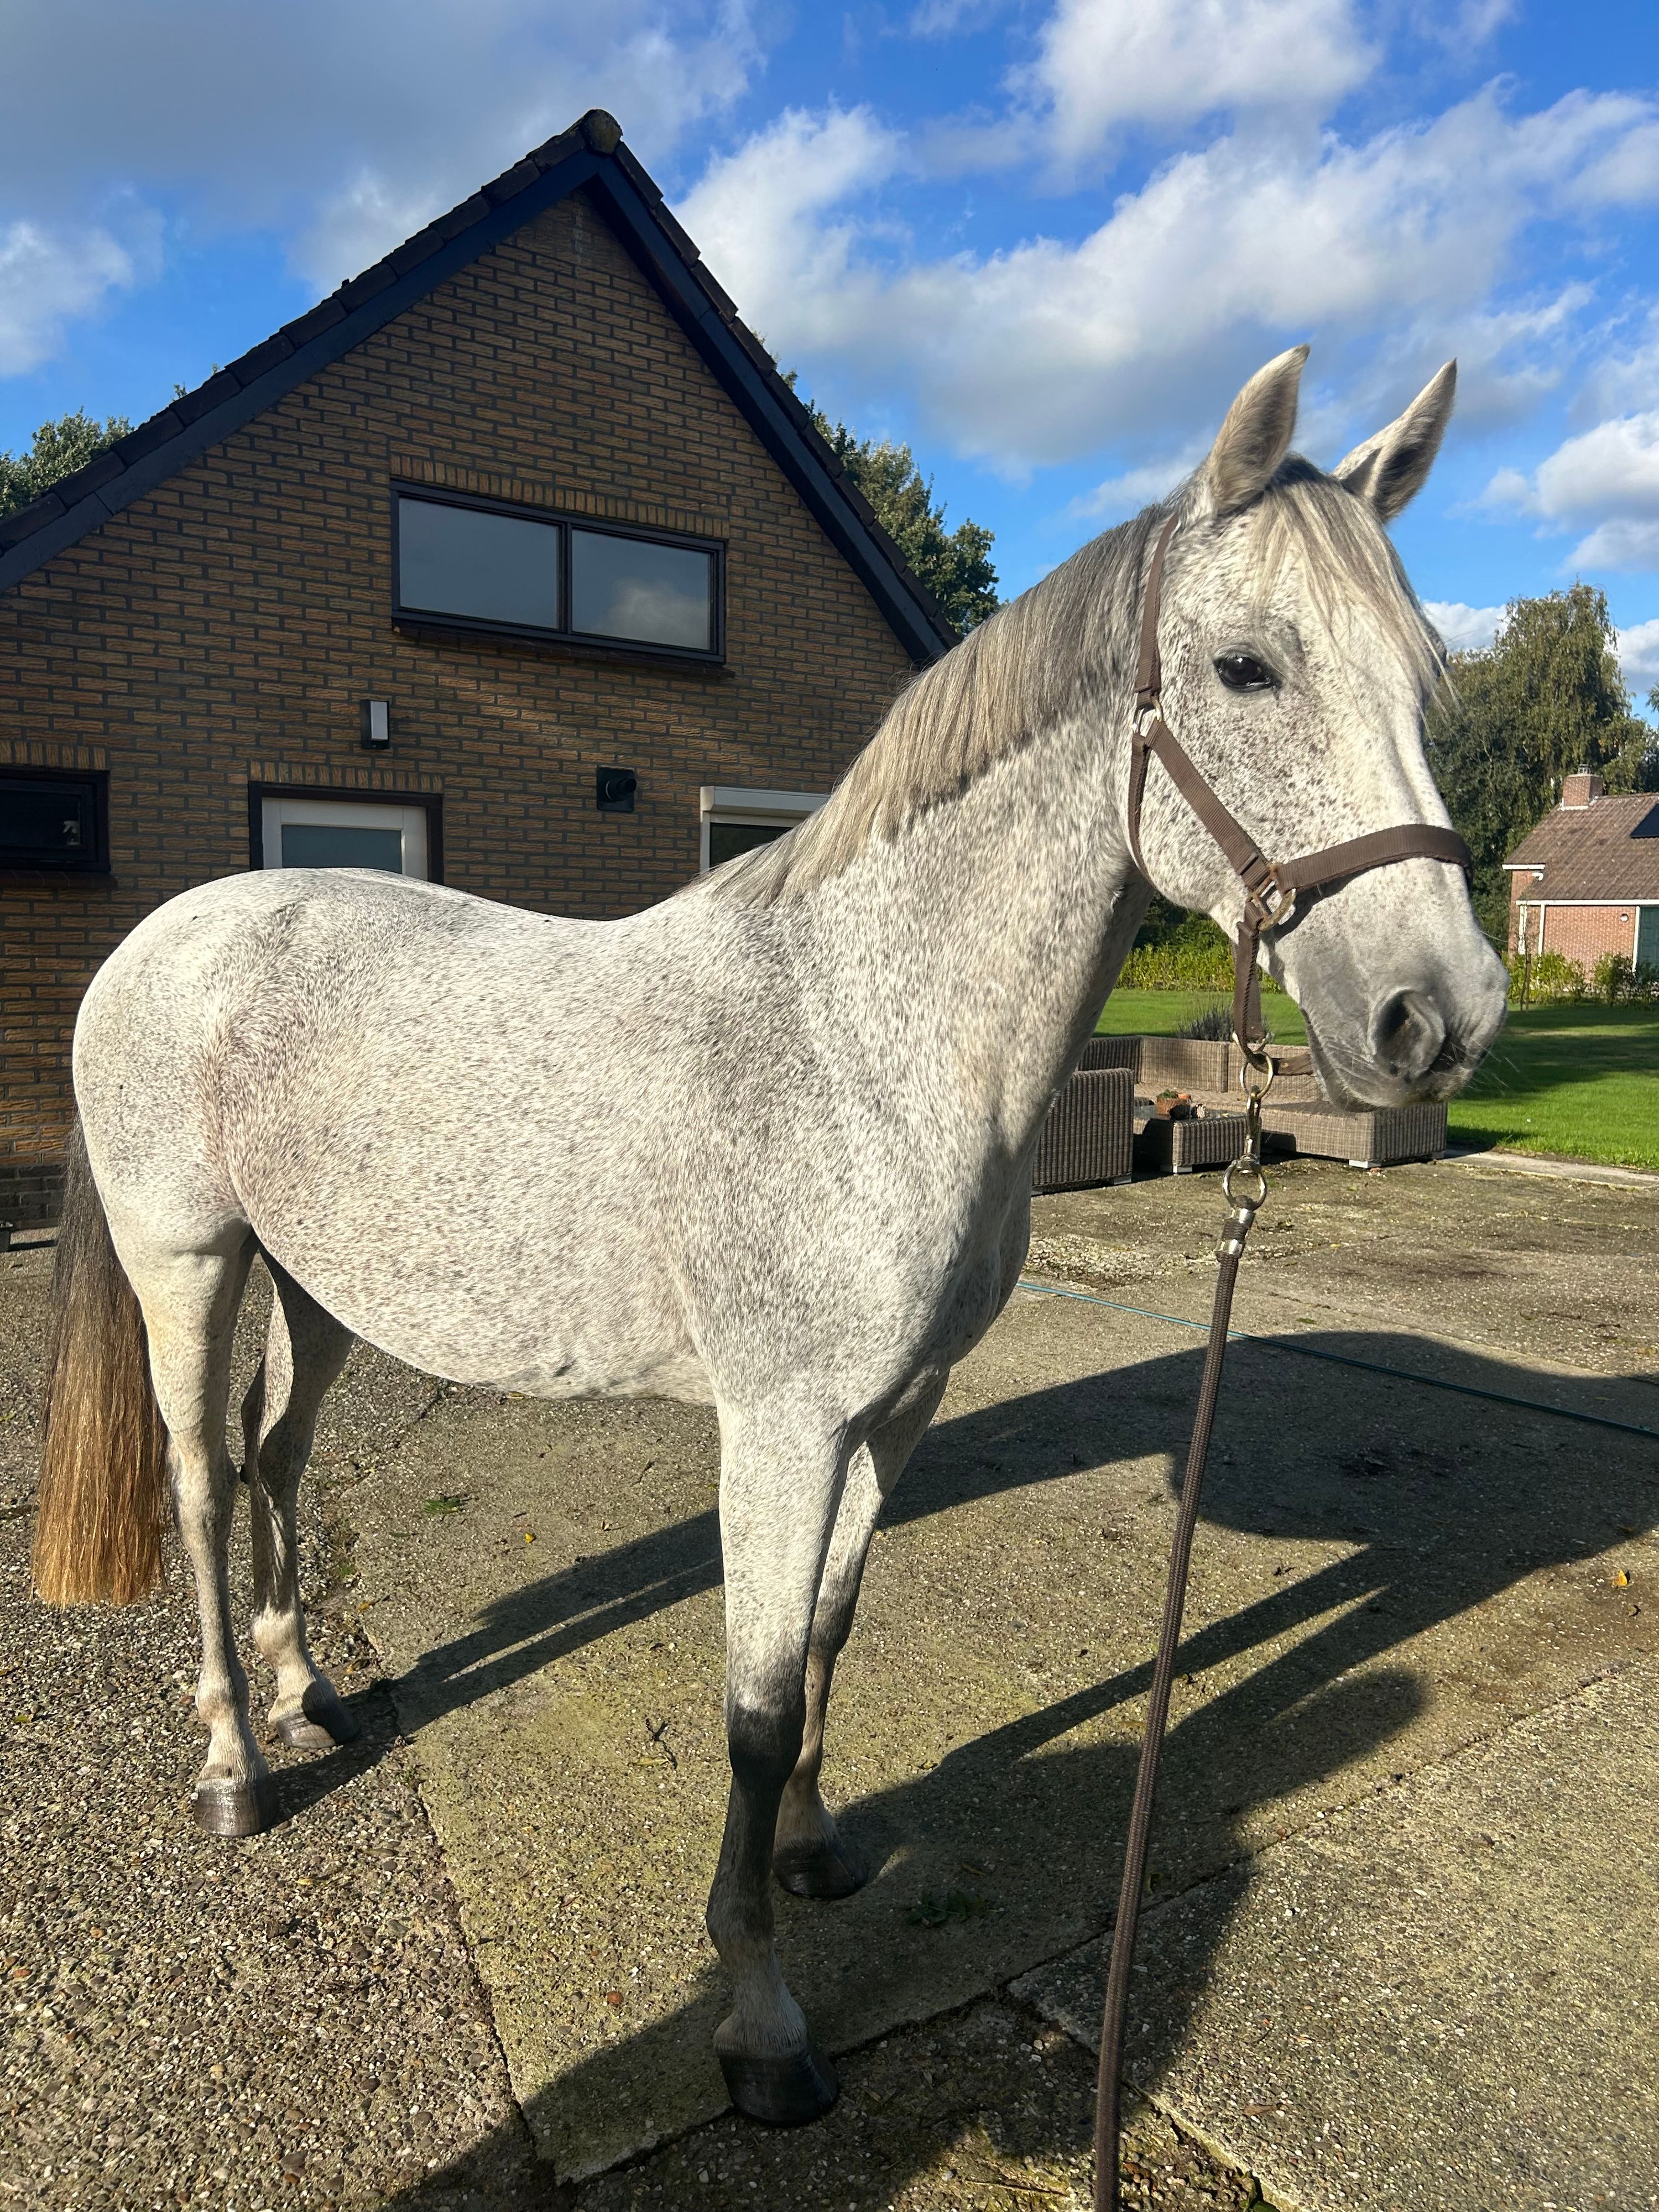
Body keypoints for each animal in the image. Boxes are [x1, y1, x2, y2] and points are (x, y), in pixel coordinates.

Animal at [33, 344, 1507, 2129]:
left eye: (1421, 684)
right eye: (1246, 667)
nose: (1437, 1017)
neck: (859, 1038)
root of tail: (158, 939)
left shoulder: (896, 1409)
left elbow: (826, 1638)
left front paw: (813, 1848)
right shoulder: (782, 1427)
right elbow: (744, 1704)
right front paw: (759, 2016)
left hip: (321, 1288)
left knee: (274, 1456)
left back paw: (306, 1691)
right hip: (188, 1264)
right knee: (194, 1478)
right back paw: (235, 1763)